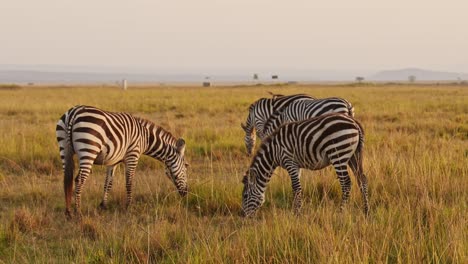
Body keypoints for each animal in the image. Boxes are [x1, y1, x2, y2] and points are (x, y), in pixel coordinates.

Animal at [57, 105, 189, 219]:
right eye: (186, 168)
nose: (185, 193)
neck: (145, 138)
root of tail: (73, 113)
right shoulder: (133, 155)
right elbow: (129, 182)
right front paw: (128, 206)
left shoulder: (113, 161)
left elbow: (108, 183)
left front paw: (103, 205)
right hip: (88, 150)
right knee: (79, 180)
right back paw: (78, 212)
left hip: (64, 149)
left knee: (66, 180)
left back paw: (68, 212)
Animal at [241, 113, 370, 217]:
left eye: (245, 196)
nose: (243, 216)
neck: (274, 152)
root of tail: (354, 122)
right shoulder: (296, 166)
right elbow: (295, 189)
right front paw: (296, 210)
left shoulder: (290, 162)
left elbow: (296, 188)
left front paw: (297, 214)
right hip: (354, 156)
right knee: (362, 180)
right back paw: (366, 211)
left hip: (339, 154)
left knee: (346, 183)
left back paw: (341, 212)